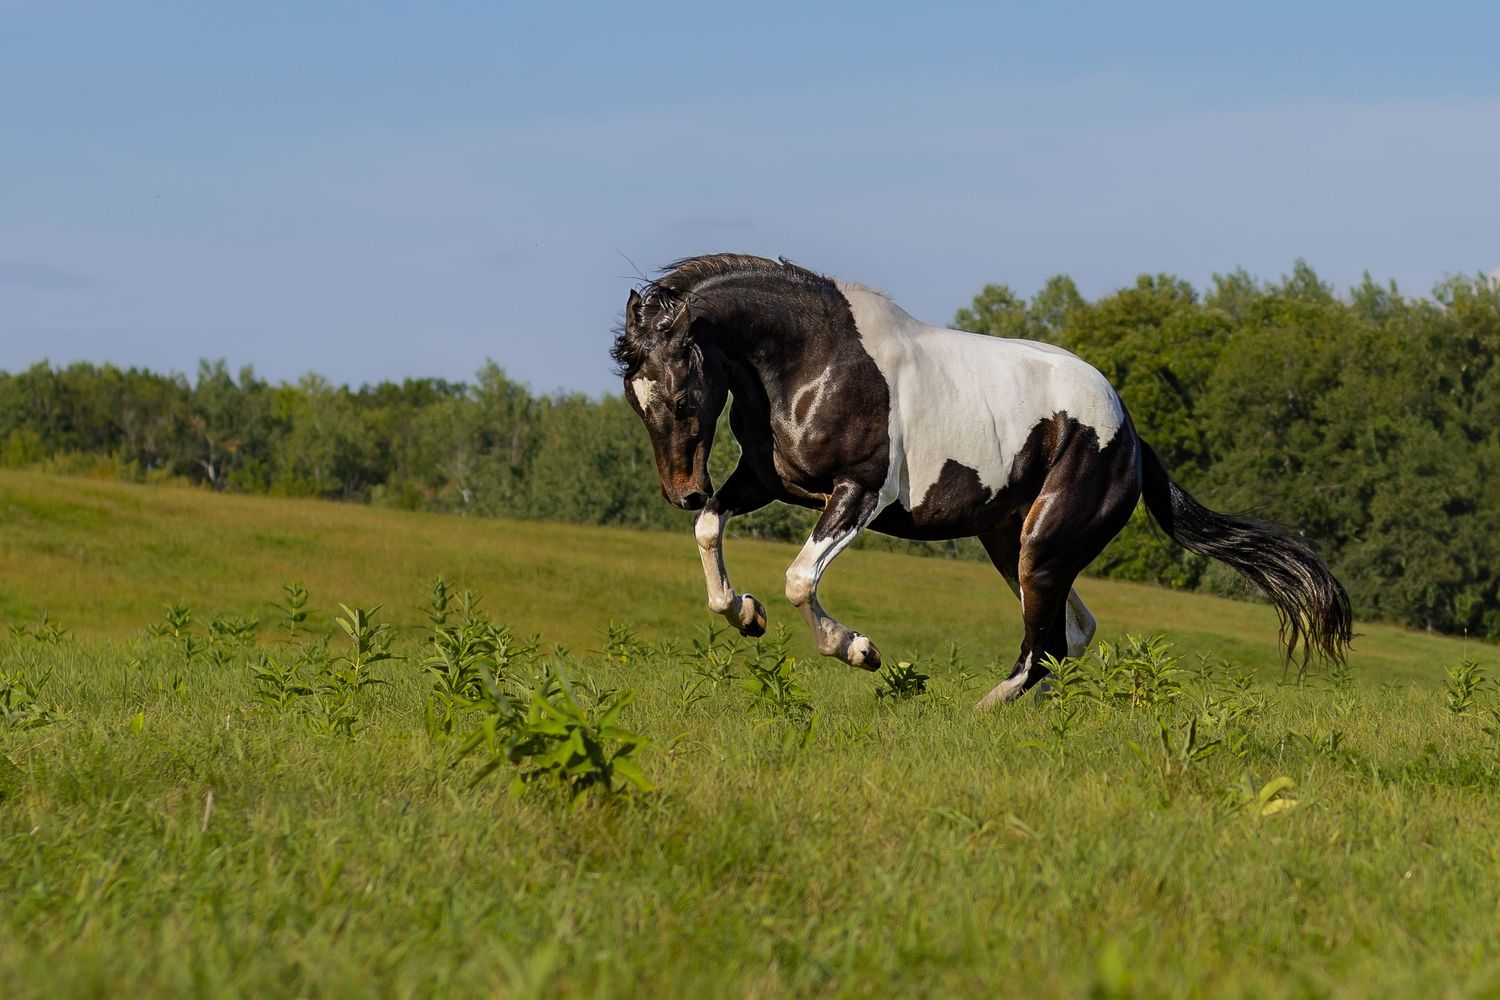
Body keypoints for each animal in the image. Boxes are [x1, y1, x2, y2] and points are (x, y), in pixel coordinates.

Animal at [611, 253, 1352, 707]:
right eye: (635, 400)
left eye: (684, 399)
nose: (681, 491)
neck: (812, 362)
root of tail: (1132, 438)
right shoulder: (764, 482)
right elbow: (711, 530)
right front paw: (744, 614)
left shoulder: (859, 494)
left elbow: (799, 578)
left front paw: (859, 651)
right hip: (1013, 545)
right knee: (1070, 634)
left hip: (1043, 547)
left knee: (1043, 645)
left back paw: (982, 709)